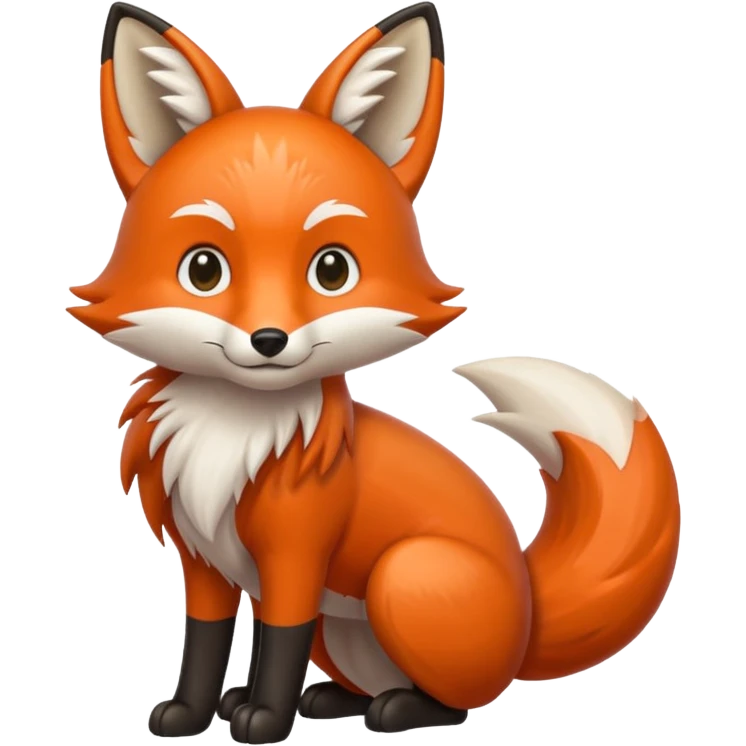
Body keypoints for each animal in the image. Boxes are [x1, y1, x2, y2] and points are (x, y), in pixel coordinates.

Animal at [74, 2, 681, 743]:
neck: (234, 434)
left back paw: (398, 711)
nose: (269, 340)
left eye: (332, 270)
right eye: (204, 270)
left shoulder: (296, 553)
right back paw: (337, 701)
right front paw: (190, 714)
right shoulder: (205, 557)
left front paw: (263, 719)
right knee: (380, 679)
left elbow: (278, 639)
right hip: (344, 632)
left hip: (406, 574)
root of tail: (529, 611)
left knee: (461, 700)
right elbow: (208, 640)